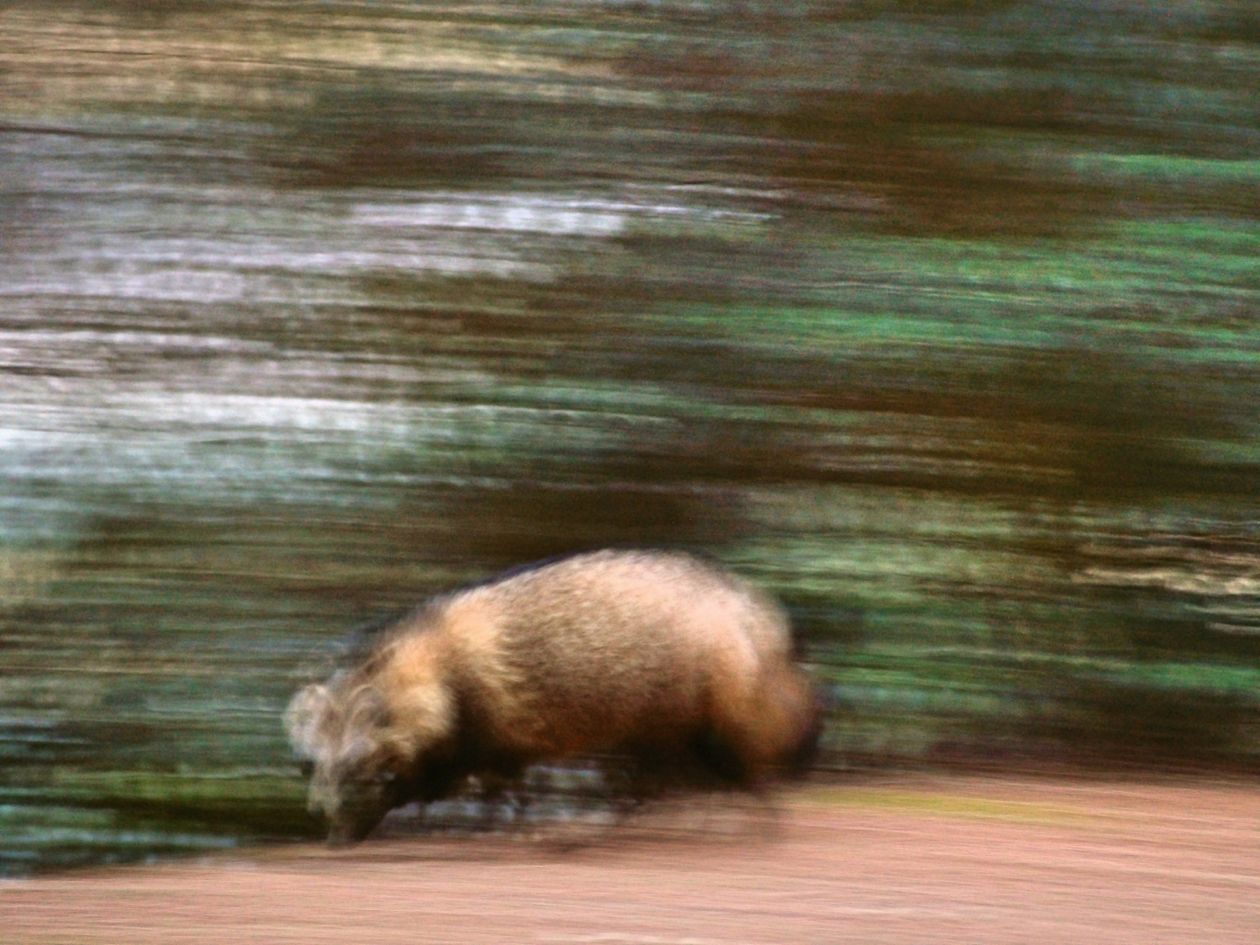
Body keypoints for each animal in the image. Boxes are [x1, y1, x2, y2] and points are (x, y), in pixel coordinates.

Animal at [285, 549, 823, 845]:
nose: (321, 818)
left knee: (708, 753)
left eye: (355, 764)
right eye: (308, 765)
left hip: (695, 692)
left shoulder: (480, 716)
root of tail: (749, 611)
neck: (429, 662)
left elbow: (459, 776)